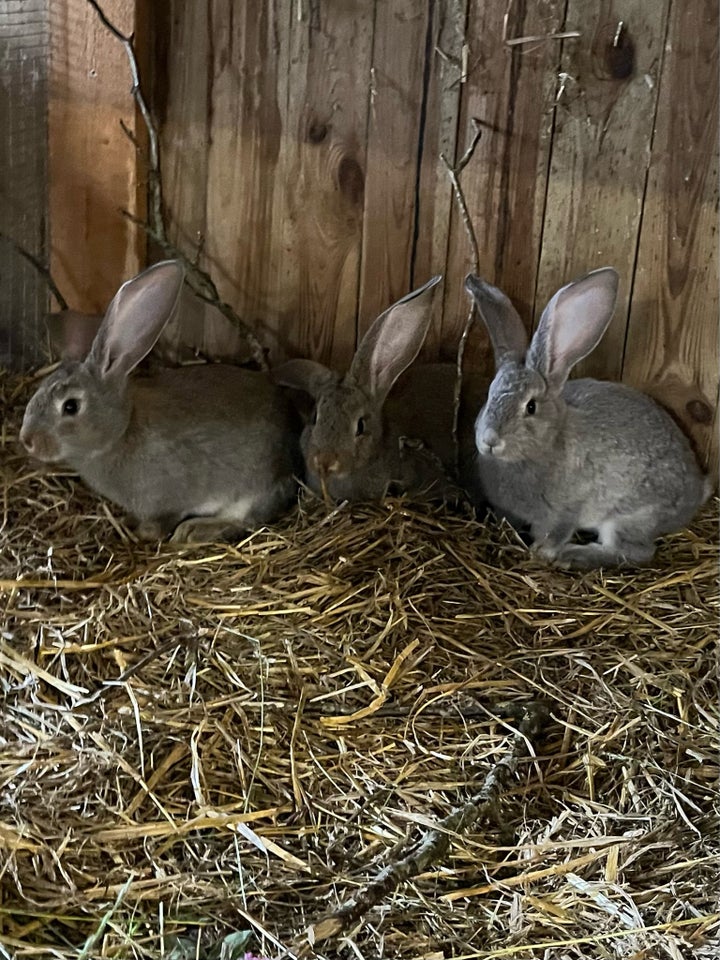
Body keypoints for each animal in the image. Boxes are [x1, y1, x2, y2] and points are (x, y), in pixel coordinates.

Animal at [20, 258, 300, 544]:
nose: (27, 440)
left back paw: (194, 531)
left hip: (252, 489)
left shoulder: (166, 501)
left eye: (70, 406)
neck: (120, 432)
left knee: (247, 520)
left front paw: (141, 532)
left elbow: (160, 524)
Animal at [464, 266, 712, 568]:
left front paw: (543, 551)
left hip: (631, 516)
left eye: (531, 407)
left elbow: (557, 531)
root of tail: (696, 493)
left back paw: (574, 556)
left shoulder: (567, 509)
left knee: (637, 552)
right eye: (489, 396)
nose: (490, 440)